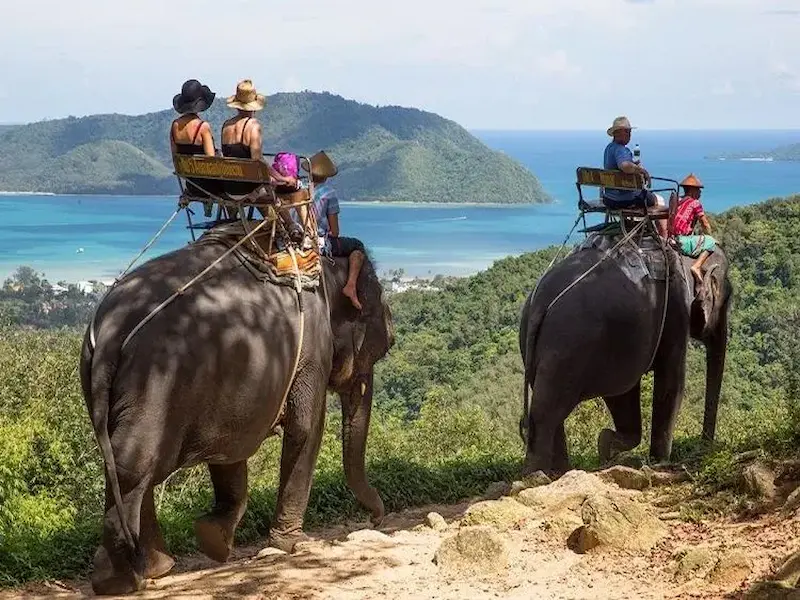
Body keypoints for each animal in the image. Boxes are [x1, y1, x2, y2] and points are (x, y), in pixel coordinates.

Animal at [80, 232, 394, 595]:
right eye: (384, 342)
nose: (376, 519)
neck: (324, 264)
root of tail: (109, 333)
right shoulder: (313, 350)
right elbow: (306, 428)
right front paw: (295, 544)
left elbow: (231, 448)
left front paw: (214, 540)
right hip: (154, 383)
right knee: (135, 466)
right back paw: (123, 581)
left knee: (122, 464)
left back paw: (153, 569)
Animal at [518, 231, 732, 475]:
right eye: (727, 296)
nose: (705, 447)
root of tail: (540, 303)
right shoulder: (676, 311)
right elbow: (672, 383)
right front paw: (659, 462)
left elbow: (623, 393)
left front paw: (605, 446)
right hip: (567, 348)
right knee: (546, 412)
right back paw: (539, 475)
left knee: (552, 412)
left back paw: (560, 471)